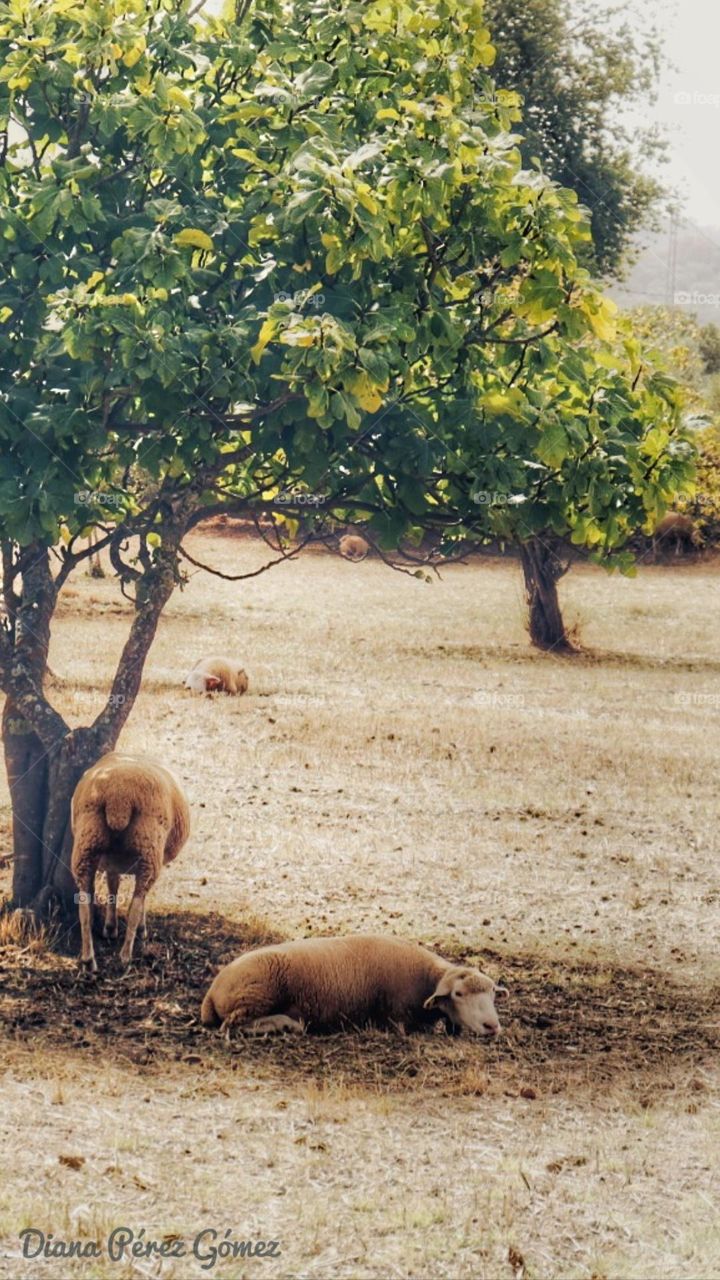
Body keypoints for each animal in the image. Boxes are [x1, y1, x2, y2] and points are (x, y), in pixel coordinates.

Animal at [70, 752, 190, 971]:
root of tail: (119, 798)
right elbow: (141, 899)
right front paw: (140, 928)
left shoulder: (111, 862)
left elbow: (113, 887)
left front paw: (110, 928)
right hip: (149, 850)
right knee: (135, 904)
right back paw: (125, 956)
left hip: (87, 841)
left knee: (84, 905)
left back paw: (88, 959)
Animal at [200, 935, 506, 1037]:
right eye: (458, 993)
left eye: (493, 994)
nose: (492, 1026)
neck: (424, 976)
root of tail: (212, 992)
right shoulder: (396, 1020)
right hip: (257, 994)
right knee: (233, 1025)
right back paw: (286, 1025)